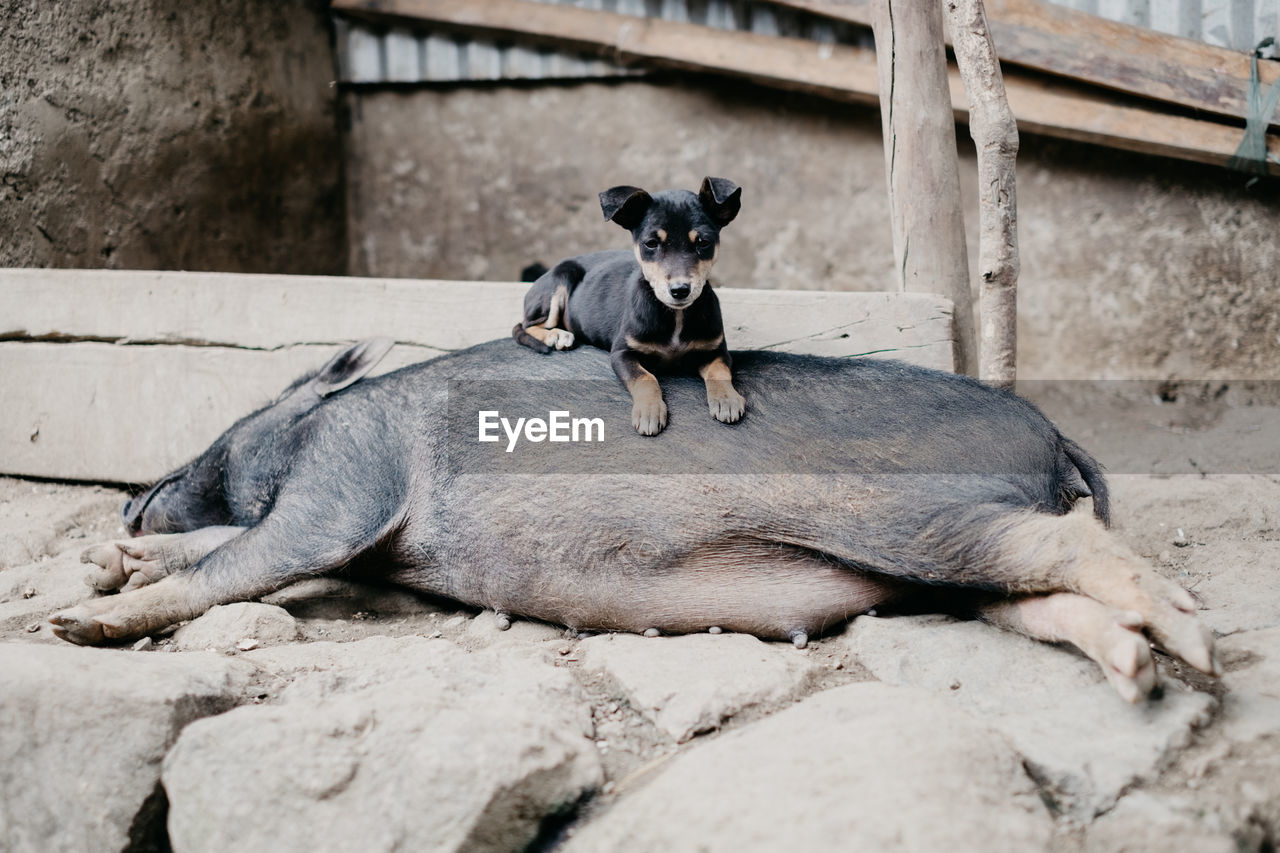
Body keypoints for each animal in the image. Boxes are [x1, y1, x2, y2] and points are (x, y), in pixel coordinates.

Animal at [49, 335, 1213, 701]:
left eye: (219, 434)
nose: (127, 496)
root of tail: (1051, 433)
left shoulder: (346, 484)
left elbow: (243, 558)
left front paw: (74, 621)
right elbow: (227, 548)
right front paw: (109, 562)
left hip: (907, 514)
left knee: (1072, 543)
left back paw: (1193, 647)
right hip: (944, 568)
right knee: (1046, 591)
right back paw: (1138, 671)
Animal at [514, 176, 747, 435]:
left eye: (703, 242)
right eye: (651, 243)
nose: (679, 290)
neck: (675, 315)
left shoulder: (714, 350)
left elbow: (719, 372)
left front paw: (727, 399)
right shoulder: (622, 353)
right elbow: (645, 378)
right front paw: (649, 411)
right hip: (559, 281)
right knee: (526, 324)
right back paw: (556, 335)